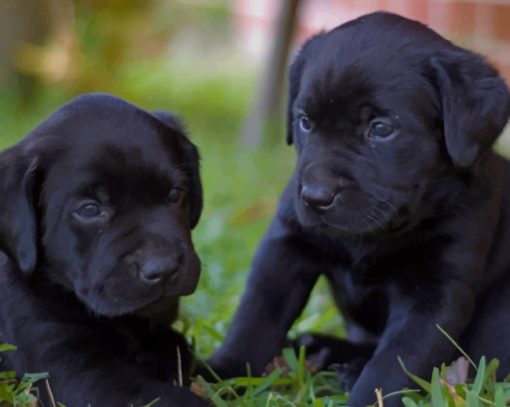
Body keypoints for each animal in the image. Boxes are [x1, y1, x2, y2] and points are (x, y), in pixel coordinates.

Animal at [0, 94, 209, 407]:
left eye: (175, 193)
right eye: (89, 209)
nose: (163, 268)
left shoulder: (168, 347)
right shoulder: (72, 373)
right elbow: (168, 397)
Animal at [210, 11, 510, 406]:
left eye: (380, 128)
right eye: (305, 122)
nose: (315, 196)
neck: (373, 236)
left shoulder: (435, 290)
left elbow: (395, 361)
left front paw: (368, 395)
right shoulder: (285, 247)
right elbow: (255, 319)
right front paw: (217, 374)